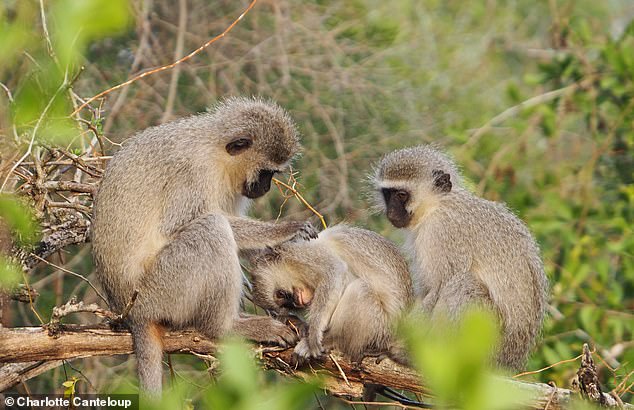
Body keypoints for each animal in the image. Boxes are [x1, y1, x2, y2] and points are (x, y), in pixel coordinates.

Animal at [92, 96, 316, 394]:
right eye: (266, 173)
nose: (266, 188)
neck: (215, 151)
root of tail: (131, 315)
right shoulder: (192, 173)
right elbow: (179, 225)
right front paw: (287, 230)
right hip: (160, 291)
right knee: (212, 228)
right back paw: (226, 327)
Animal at [249, 226, 412, 364]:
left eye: (281, 294)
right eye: (286, 304)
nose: (297, 302)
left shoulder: (301, 253)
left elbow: (335, 270)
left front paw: (313, 336)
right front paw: (299, 324)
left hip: (380, 329)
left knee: (360, 289)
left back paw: (333, 339)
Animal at [372, 146, 544, 370]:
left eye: (402, 195)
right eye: (388, 194)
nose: (391, 213)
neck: (437, 205)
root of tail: (509, 363)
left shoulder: (443, 233)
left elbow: (438, 288)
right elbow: (427, 290)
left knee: (462, 285)